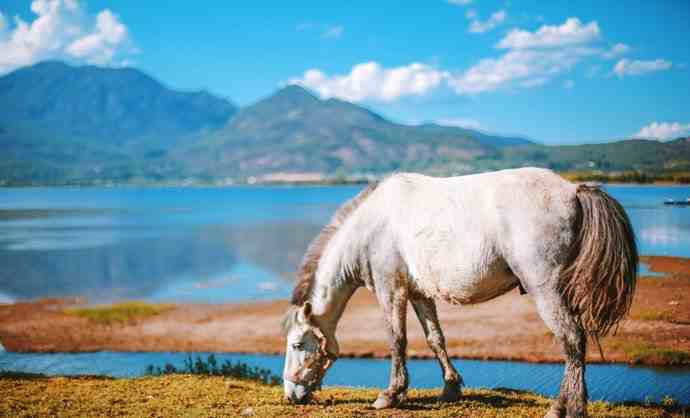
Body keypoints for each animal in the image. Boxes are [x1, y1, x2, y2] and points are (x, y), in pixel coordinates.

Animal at [280, 167, 636, 418]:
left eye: (297, 344)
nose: (290, 394)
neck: (370, 227)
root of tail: (573, 190)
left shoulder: (390, 290)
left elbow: (397, 340)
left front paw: (390, 395)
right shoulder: (419, 294)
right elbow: (435, 339)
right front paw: (450, 389)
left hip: (545, 289)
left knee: (572, 340)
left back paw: (565, 409)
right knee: (574, 343)